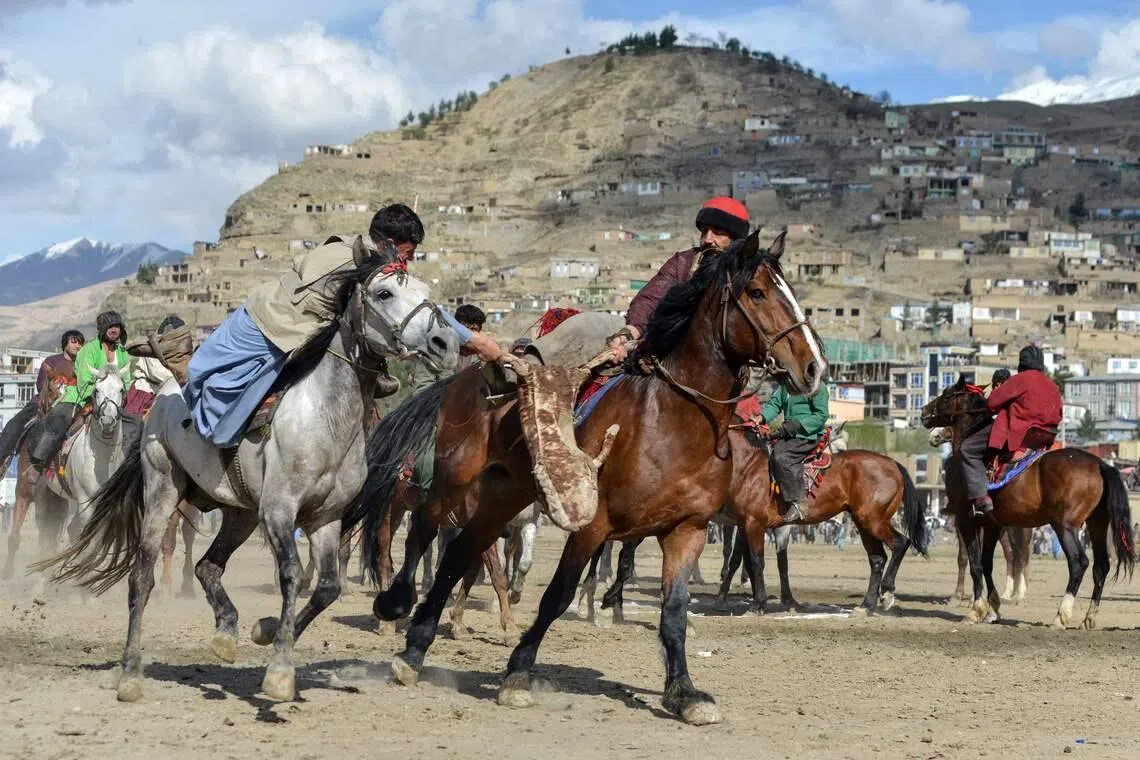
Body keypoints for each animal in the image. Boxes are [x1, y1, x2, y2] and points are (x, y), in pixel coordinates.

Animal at [35, 241, 459, 703]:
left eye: (426, 290)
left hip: (238, 512)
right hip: (163, 490)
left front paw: (268, 631)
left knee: (208, 567)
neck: (325, 417)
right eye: (384, 293)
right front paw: (279, 671)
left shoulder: (325, 519)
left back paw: (226, 631)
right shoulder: (279, 510)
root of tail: (161, 398)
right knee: (141, 576)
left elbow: (328, 586)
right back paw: (130, 672)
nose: (444, 343)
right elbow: (292, 574)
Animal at [345, 229, 825, 725]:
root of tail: (464, 378)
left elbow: (673, 612)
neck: (675, 420)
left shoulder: (687, 530)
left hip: (503, 496)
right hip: (454, 480)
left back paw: (415, 650)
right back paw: (394, 605)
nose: (813, 367)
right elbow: (557, 595)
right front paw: (518, 674)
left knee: (459, 555)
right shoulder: (592, 524)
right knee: (421, 529)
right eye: (758, 292)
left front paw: (684, 693)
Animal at [921, 376, 1135, 627]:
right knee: (1101, 566)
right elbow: (986, 563)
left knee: (1078, 562)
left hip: (1065, 526)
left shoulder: (966, 520)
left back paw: (1061, 615)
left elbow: (974, 563)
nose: (924, 412)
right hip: (1097, 525)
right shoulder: (992, 524)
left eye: (946, 394)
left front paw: (976, 610)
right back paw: (1088, 617)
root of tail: (1099, 464)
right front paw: (993, 607)